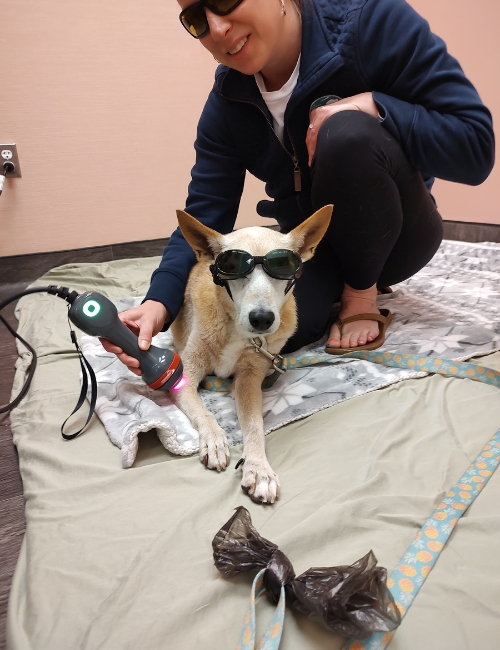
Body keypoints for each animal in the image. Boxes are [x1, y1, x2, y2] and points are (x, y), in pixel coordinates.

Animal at [171, 202, 332, 502]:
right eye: (232, 266)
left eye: (284, 266)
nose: (262, 319)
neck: (235, 328)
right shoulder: (184, 376)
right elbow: (205, 413)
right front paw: (215, 440)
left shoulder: (249, 378)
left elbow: (255, 425)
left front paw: (259, 468)